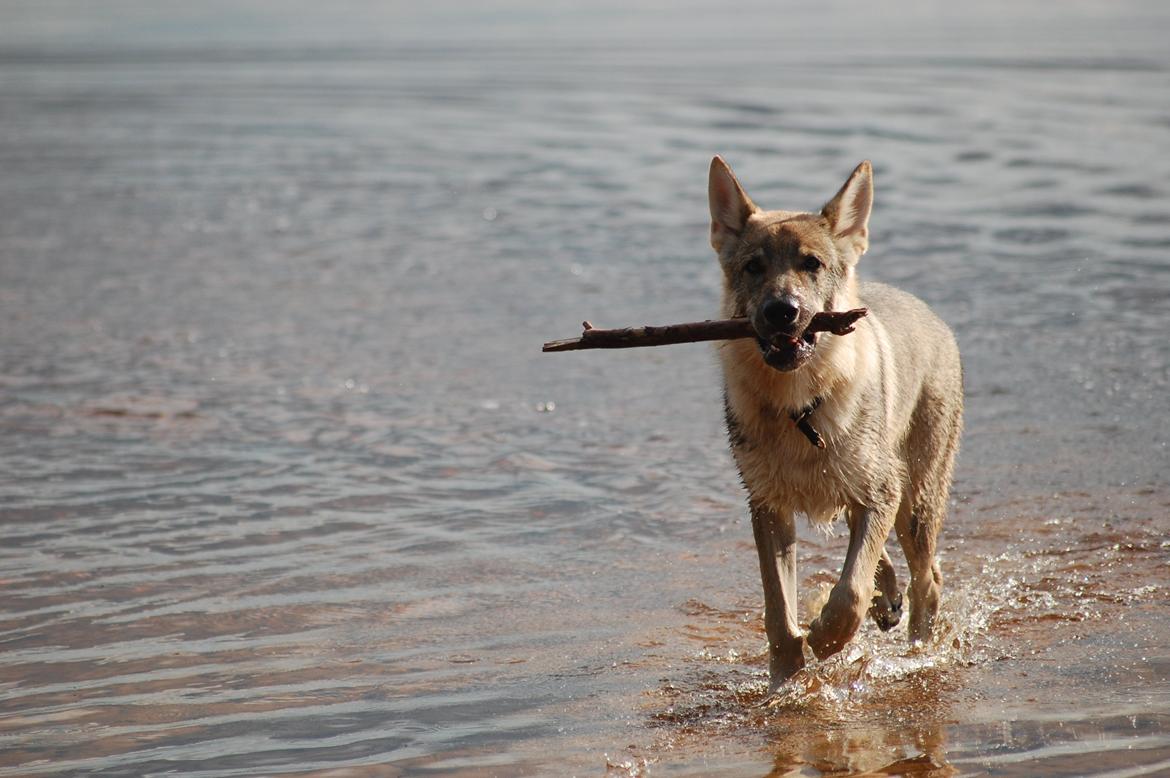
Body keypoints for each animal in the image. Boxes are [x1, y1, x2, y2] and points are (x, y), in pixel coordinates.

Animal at [706, 154, 964, 687]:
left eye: (812, 264)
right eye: (753, 267)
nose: (782, 312)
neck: (799, 406)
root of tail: (930, 313)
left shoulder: (880, 491)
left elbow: (849, 592)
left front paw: (826, 638)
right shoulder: (768, 507)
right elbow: (777, 611)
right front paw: (785, 679)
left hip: (914, 499)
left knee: (927, 579)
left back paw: (917, 651)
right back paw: (889, 601)